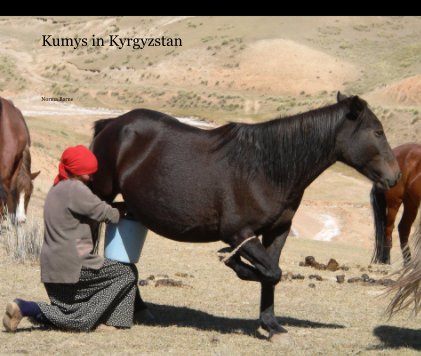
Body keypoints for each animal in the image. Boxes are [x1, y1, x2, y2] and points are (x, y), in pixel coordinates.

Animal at [89, 93, 400, 338]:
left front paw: (271, 325)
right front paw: (234, 262)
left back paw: (140, 308)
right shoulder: (239, 233)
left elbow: (272, 274)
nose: (394, 176)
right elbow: (269, 272)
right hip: (98, 196)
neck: (266, 169)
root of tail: (113, 124)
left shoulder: (277, 231)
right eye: (377, 132)